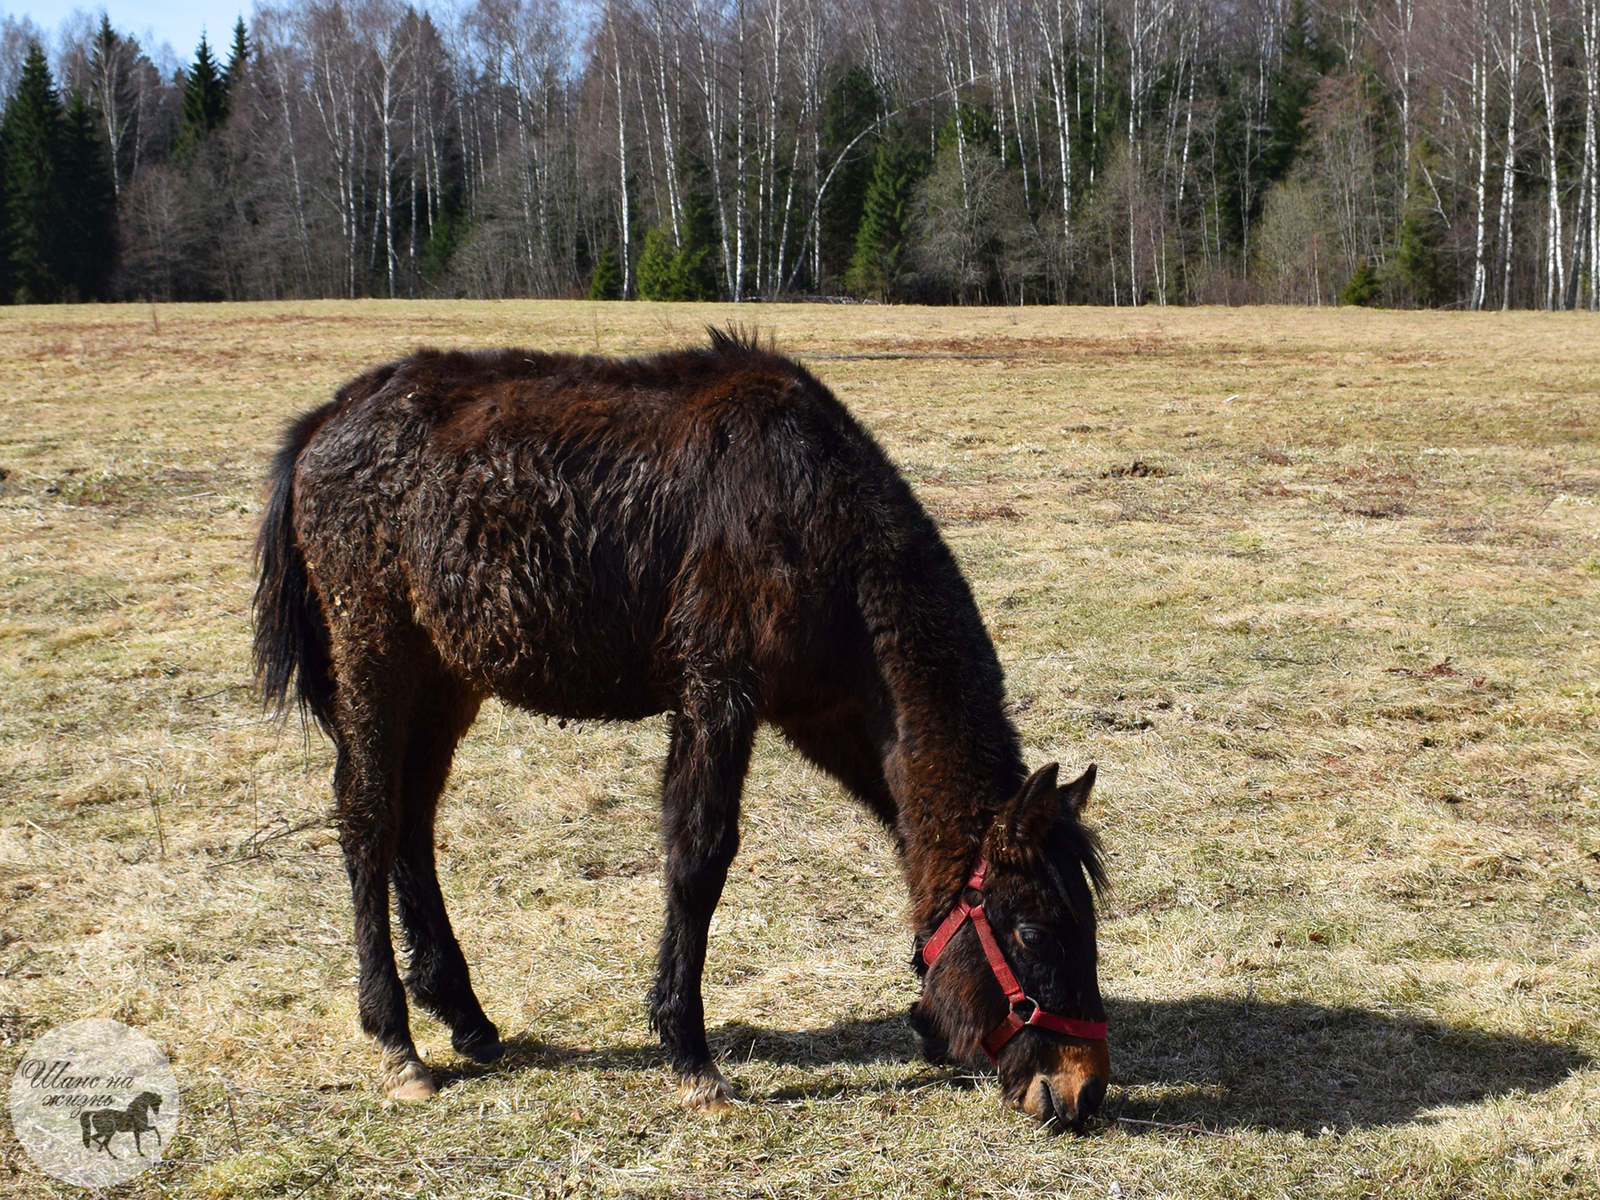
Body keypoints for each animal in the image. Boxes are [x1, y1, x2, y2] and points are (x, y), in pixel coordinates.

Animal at [256, 326, 1113, 1126]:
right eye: (1034, 932)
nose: (1081, 1092)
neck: (818, 517)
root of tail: (329, 417)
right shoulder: (718, 691)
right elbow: (699, 859)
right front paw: (691, 1055)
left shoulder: (825, 715)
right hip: (375, 651)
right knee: (368, 819)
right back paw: (396, 1039)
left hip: (444, 676)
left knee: (412, 820)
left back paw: (464, 1015)